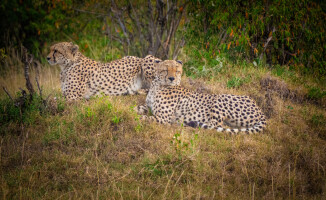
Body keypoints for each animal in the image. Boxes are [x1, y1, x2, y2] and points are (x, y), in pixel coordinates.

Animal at [138, 59, 268, 134]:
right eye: (165, 70)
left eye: (177, 71)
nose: (171, 78)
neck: (157, 85)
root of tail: (260, 110)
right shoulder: (149, 107)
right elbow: (140, 108)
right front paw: (136, 110)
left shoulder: (163, 118)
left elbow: (146, 118)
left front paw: (137, 118)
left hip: (219, 100)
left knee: (215, 127)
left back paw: (187, 126)